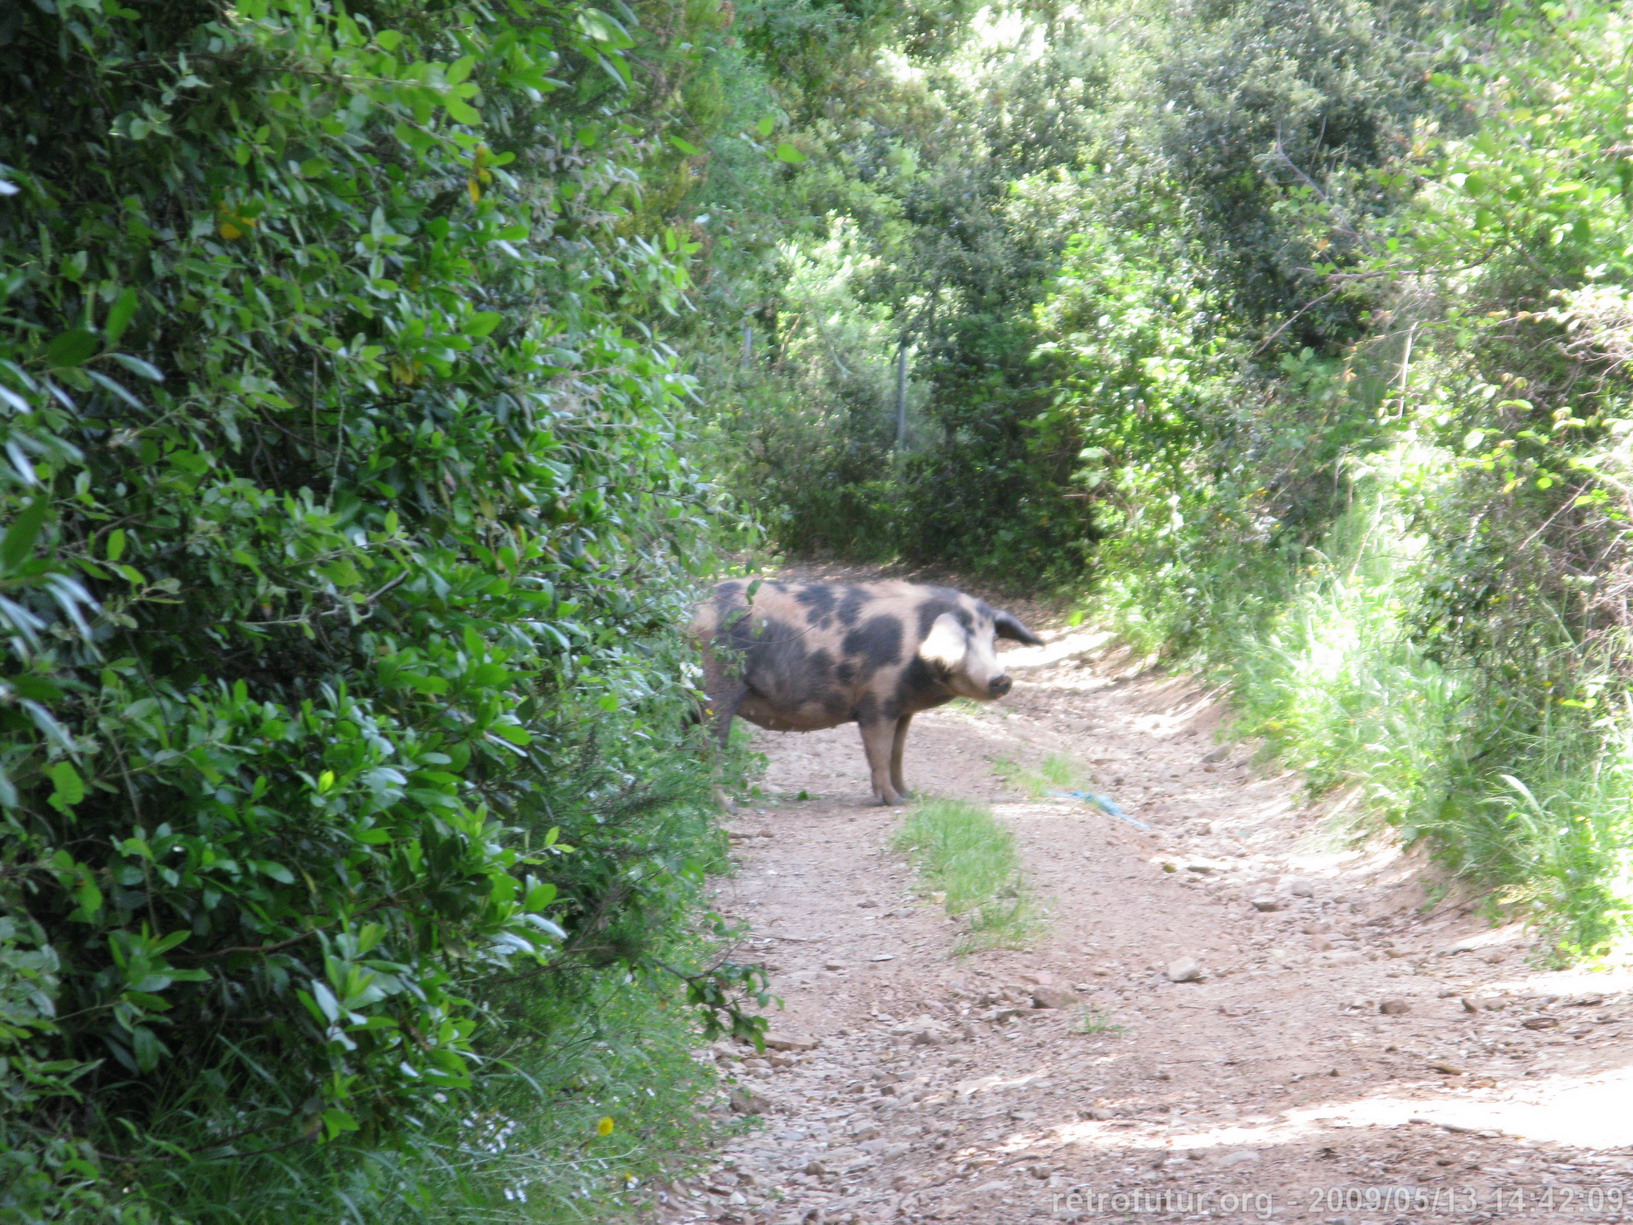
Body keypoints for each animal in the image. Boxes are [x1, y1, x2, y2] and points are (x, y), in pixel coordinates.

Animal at [689, 581, 1045, 810]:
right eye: (964, 639)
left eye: (993, 639)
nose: (1001, 679)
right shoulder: (877, 702)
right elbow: (879, 753)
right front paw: (892, 802)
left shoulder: (902, 710)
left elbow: (897, 753)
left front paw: (909, 795)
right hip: (716, 689)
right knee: (711, 748)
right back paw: (728, 806)